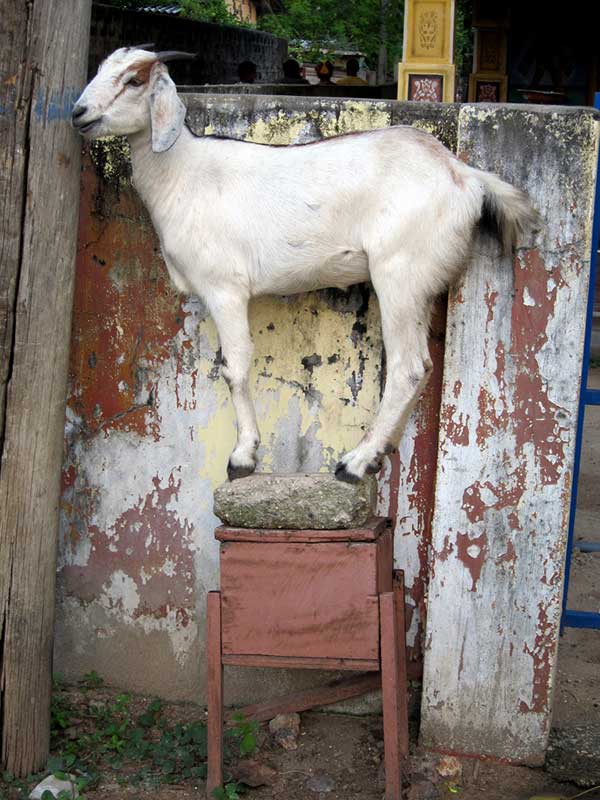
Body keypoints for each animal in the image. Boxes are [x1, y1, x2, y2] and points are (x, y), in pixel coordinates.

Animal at [71, 48, 540, 482]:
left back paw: (355, 462)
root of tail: (463, 173)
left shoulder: (224, 288)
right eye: (101, 69)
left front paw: (243, 456)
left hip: (398, 275)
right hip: (419, 284)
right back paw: (378, 455)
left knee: (407, 369)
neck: (184, 173)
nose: (79, 113)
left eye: (134, 81)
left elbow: (234, 368)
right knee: (422, 368)